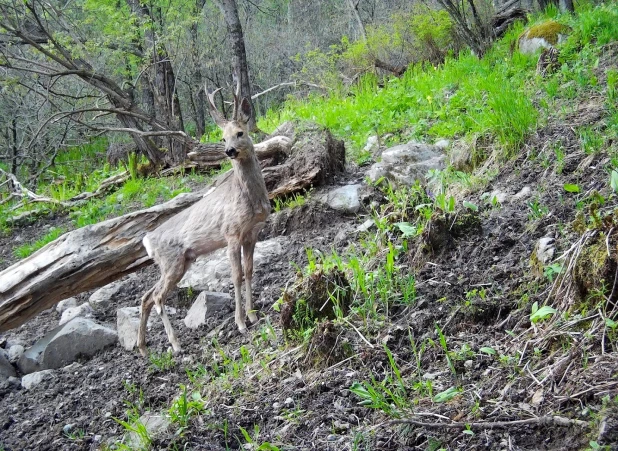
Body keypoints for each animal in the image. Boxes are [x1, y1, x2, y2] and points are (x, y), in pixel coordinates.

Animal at [137, 86, 270, 358]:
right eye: (222, 138)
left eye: (240, 133)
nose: (230, 151)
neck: (250, 199)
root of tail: (147, 240)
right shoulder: (231, 233)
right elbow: (235, 276)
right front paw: (240, 323)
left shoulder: (253, 233)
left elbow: (249, 271)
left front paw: (253, 316)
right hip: (172, 261)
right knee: (157, 297)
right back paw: (176, 344)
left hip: (179, 262)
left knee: (146, 296)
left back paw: (143, 348)